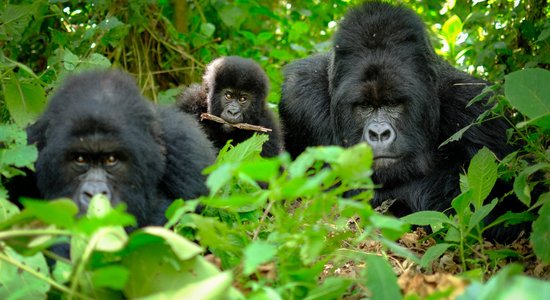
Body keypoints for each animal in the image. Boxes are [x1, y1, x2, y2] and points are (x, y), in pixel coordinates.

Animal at [280, 1, 528, 241]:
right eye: (365, 106)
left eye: (392, 103)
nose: (379, 134)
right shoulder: (299, 96)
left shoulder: (478, 109)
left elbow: (506, 205)